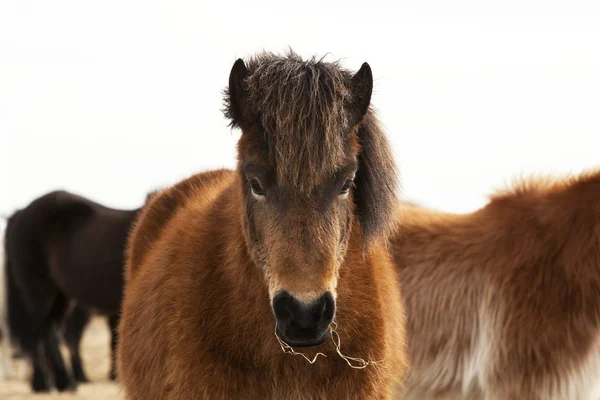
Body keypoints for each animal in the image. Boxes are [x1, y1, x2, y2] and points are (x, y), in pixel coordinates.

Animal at [3, 190, 148, 390]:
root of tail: (20, 214)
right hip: (38, 292)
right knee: (40, 332)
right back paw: (45, 383)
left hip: (61, 297)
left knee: (52, 332)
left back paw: (64, 382)